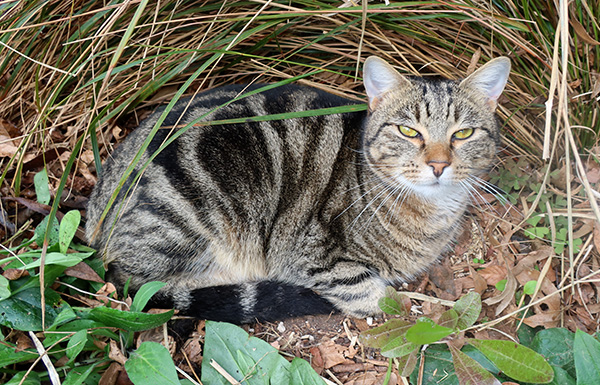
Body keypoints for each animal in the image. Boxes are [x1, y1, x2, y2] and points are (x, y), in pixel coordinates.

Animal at [85, 54, 510, 322]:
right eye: (409, 131)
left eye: (463, 134)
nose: (438, 164)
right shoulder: (313, 253)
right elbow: (373, 293)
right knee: (148, 282)